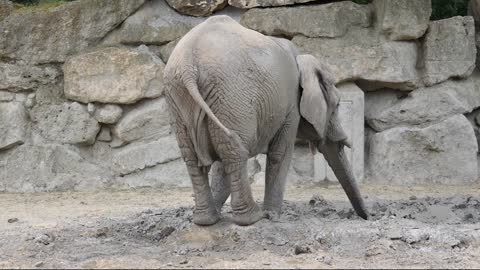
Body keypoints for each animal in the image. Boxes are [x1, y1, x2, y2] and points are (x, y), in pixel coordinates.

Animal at [164, 14, 368, 226]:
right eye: (337, 106)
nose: (366, 217)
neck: (303, 59)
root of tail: (188, 65)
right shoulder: (291, 104)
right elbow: (280, 152)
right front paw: (272, 216)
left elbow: (221, 166)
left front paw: (219, 214)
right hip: (232, 95)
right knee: (235, 151)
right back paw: (252, 218)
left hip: (182, 99)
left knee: (195, 157)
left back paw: (205, 220)